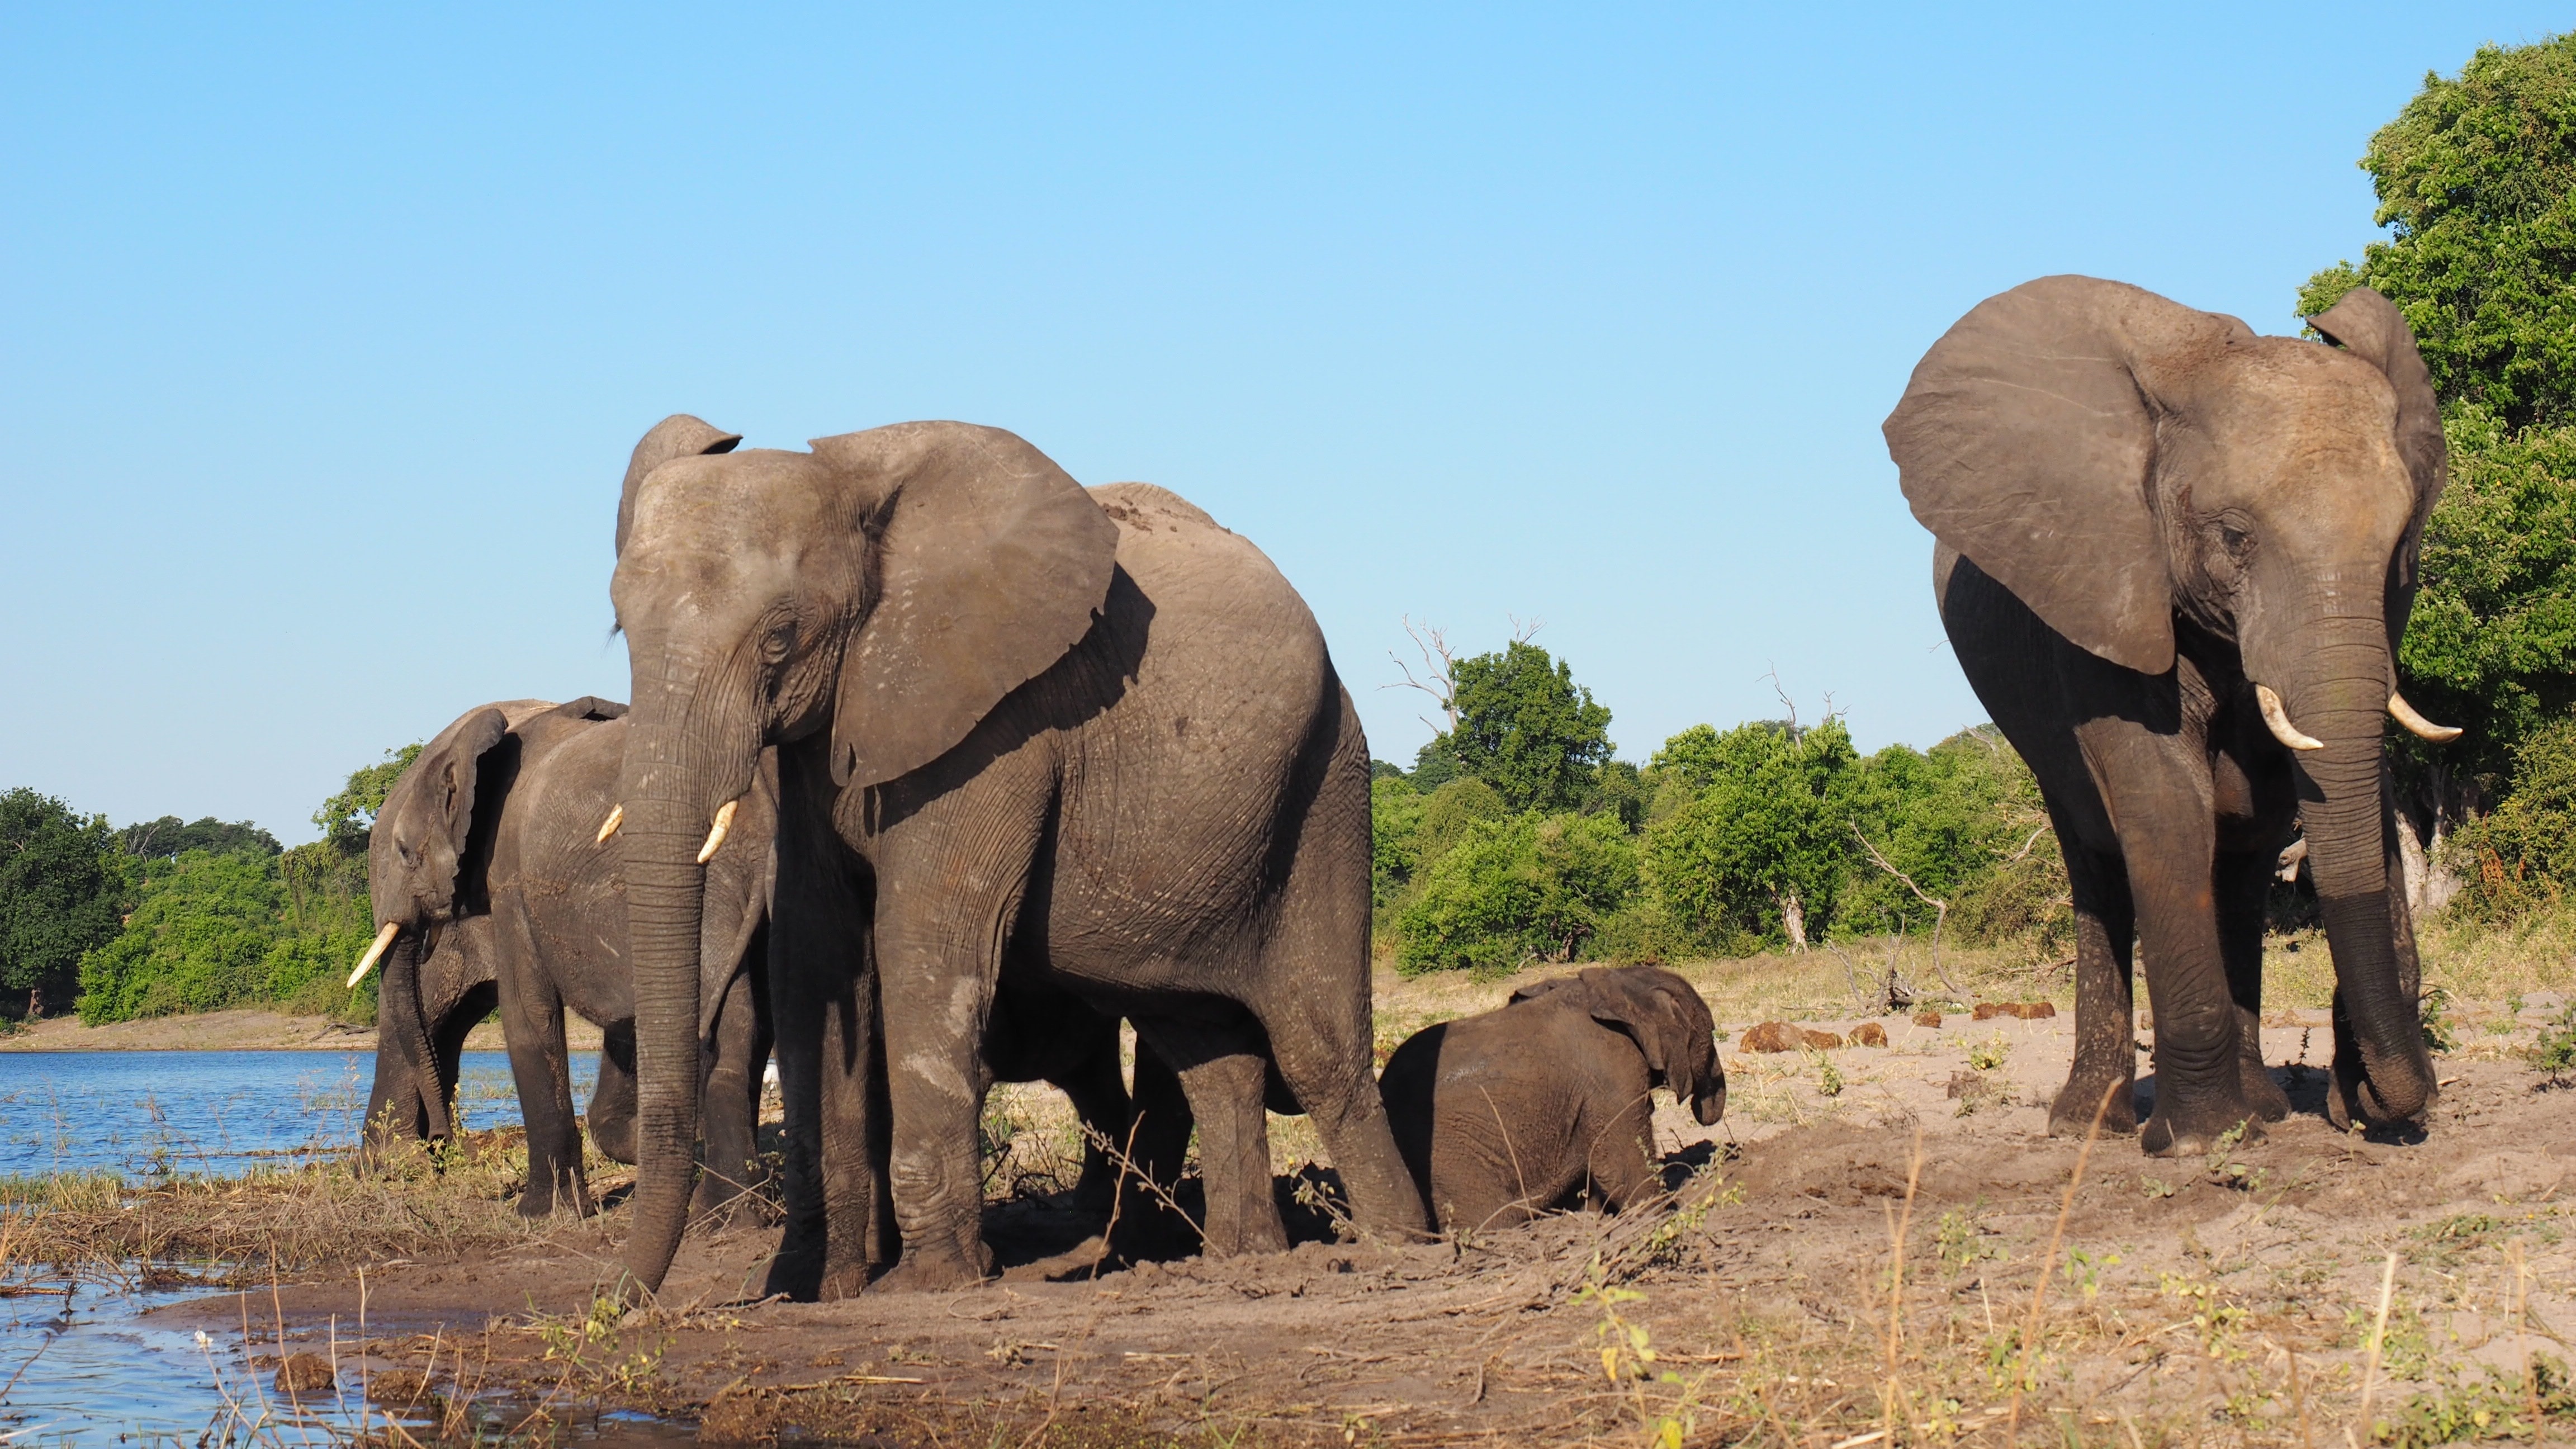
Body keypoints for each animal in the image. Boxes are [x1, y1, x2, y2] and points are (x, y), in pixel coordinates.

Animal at [605, 412, 1432, 1289]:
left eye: (779, 638)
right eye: (621, 627)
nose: (621, 1303)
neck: (862, 497)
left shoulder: (999, 726)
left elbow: (924, 946)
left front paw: (938, 1283)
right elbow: (814, 957)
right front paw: (816, 1286)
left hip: (1328, 785)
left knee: (1318, 1049)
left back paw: (1397, 1248)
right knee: (1209, 1049)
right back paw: (1244, 1259)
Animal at [1380, 959, 1721, 1227]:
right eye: (1713, 1032)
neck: (1619, 981)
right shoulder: (1612, 1071)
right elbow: (1620, 1166)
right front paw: (1668, 1217)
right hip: (1452, 1159)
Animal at [1896, 273, 2452, 1149]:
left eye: (2402, 546)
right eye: (2234, 536)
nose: (2368, 1097)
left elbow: (2307, 792)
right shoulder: (2104, 583)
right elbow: (2165, 804)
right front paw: (2200, 1140)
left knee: (2245, 857)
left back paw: (2259, 1106)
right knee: (2097, 861)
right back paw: (2093, 1125)